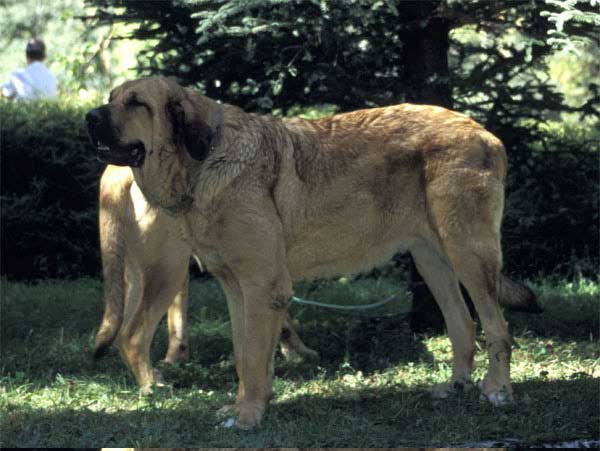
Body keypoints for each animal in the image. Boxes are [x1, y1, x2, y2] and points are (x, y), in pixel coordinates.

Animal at [93, 165, 316, 392]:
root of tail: (114, 171)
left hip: (140, 278)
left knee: (124, 332)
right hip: (169, 270)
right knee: (132, 336)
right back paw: (152, 386)